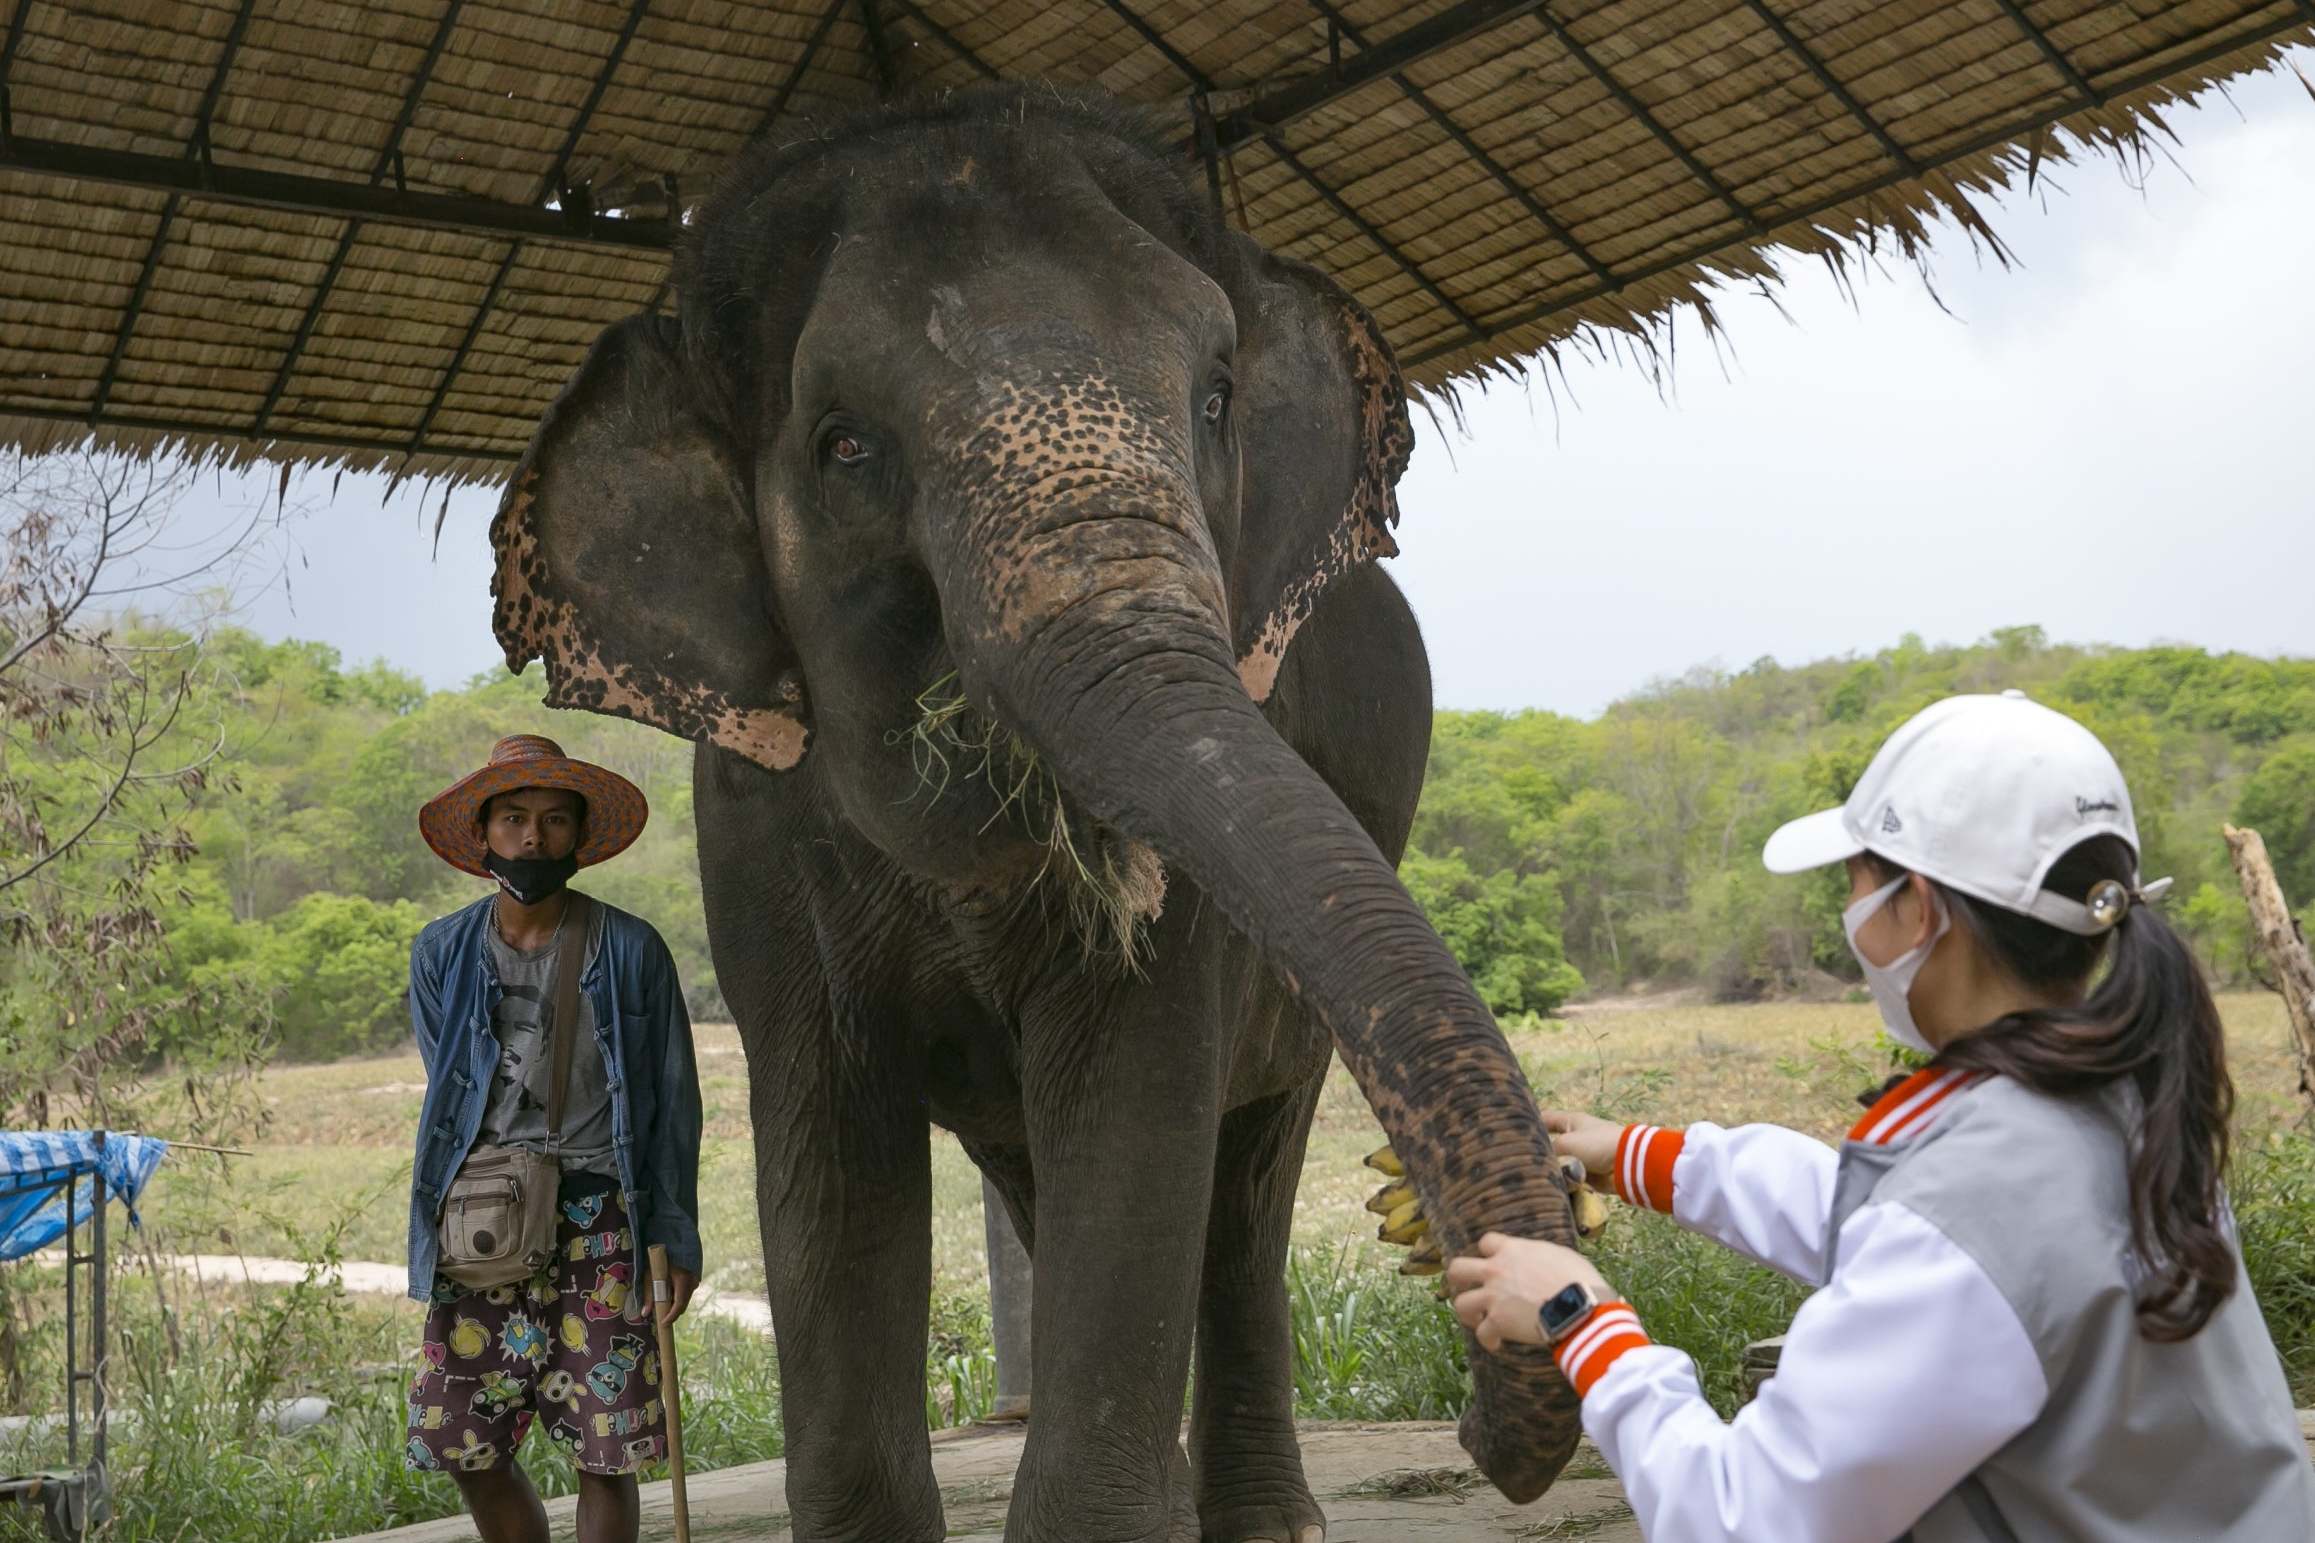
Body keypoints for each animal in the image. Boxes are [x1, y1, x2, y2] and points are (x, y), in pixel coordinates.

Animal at [490, 84, 1581, 1541]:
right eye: (845, 444)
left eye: (1217, 396)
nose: (1482, 1428)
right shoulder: (753, 830)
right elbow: (829, 1163)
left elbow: (1133, 1118)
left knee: (1241, 1185)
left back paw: (1257, 1519)